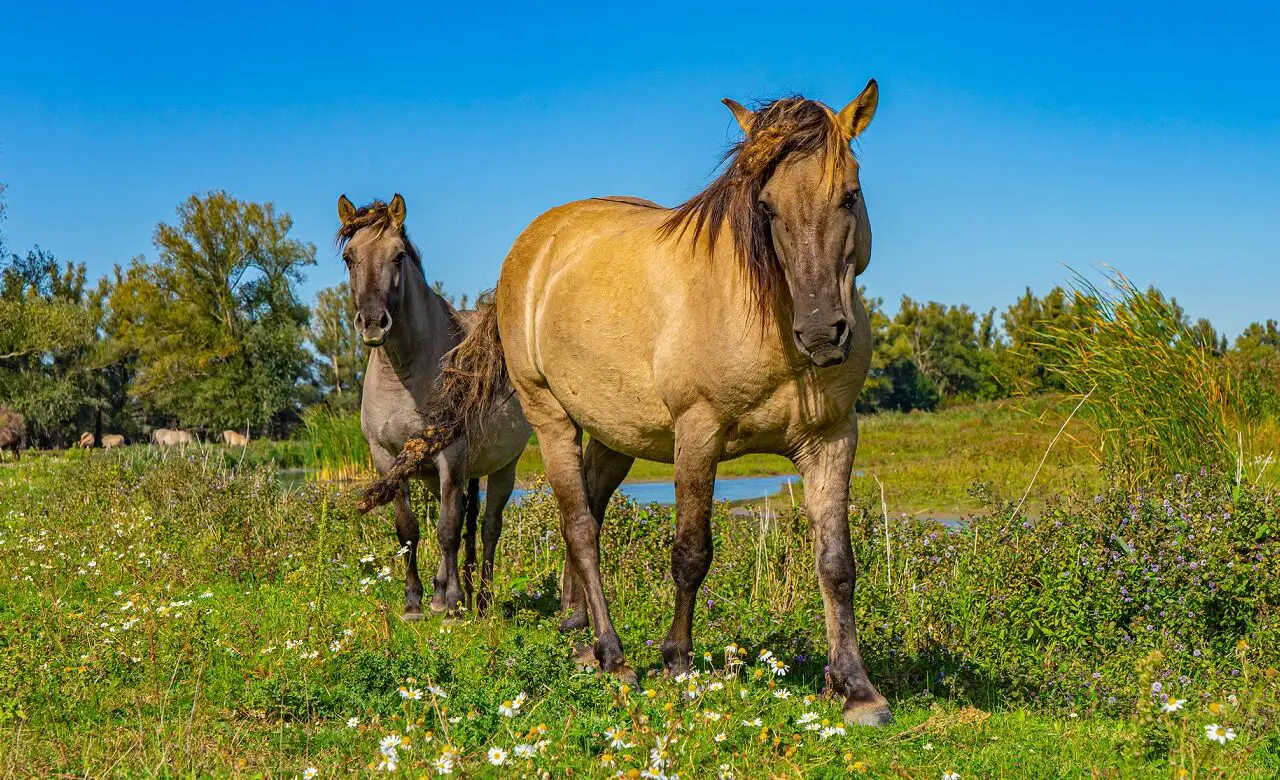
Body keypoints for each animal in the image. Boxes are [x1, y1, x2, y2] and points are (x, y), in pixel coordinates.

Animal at [337, 193, 532, 614]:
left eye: (398, 256)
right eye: (348, 257)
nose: (373, 322)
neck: (403, 375)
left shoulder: (450, 456)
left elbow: (447, 530)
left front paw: (450, 602)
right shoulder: (387, 458)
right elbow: (408, 531)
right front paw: (414, 601)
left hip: (501, 467)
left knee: (487, 527)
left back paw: (479, 600)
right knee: (466, 519)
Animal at [363, 81, 890, 722]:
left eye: (850, 195)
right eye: (766, 208)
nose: (821, 333)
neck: (764, 315)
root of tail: (534, 244)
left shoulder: (832, 440)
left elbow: (837, 564)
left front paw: (857, 688)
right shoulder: (699, 435)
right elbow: (691, 553)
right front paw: (678, 662)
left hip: (615, 435)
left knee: (588, 510)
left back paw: (577, 634)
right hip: (552, 422)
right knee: (580, 527)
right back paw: (612, 654)